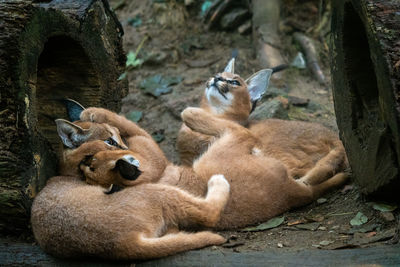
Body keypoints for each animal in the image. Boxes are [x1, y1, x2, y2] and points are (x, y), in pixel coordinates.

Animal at [31, 108, 230, 260]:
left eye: (119, 137)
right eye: (109, 140)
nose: (126, 149)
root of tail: (122, 243)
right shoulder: (151, 154)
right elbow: (136, 128)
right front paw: (93, 112)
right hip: (156, 192)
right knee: (208, 213)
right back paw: (219, 181)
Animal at [73, 104, 348, 230]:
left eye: (91, 158)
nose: (83, 162)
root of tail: (289, 194)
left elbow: (128, 124)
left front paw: (92, 113)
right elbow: (132, 125)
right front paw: (93, 113)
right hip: (227, 148)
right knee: (242, 132)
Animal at [177, 58, 348, 186]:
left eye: (235, 83)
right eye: (217, 74)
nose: (217, 78)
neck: (214, 112)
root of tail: (335, 135)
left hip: (274, 146)